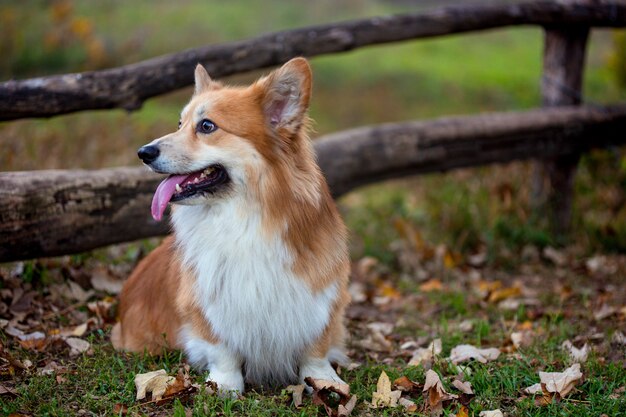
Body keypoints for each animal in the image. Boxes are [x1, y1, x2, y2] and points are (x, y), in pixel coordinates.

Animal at [109, 57, 348, 394]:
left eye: (207, 126)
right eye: (180, 124)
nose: (144, 153)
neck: (244, 220)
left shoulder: (322, 298)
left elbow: (316, 348)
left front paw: (324, 379)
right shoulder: (207, 306)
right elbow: (222, 349)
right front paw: (224, 386)